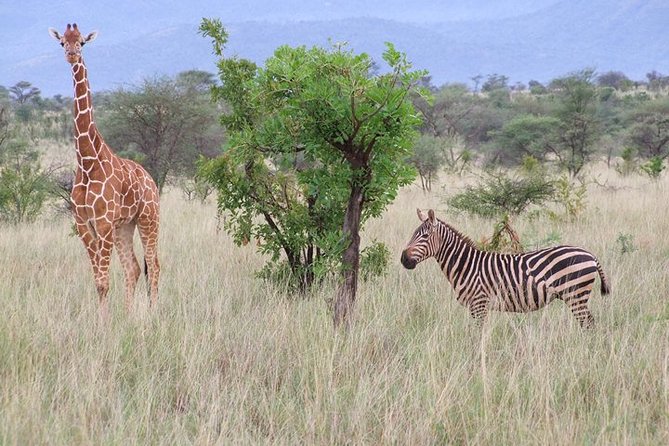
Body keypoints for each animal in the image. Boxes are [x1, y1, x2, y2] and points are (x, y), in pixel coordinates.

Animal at [48, 23, 160, 318]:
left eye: (82, 42)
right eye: (62, 42)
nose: (72, 55)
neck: (87, 161)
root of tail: (151, 180)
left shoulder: (103, 222)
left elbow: (104, 281)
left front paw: (104, 323)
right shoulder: (84, 223)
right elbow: (98, 280)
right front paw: (104, 321)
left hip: (149, 219)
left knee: (154, 265)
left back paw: (154, 314)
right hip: (125, 226)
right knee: (134, 268)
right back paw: (130, 315)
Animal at [400, 209, 608, 328]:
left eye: (425, 236)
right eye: (413, 234)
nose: (404, 259)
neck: (465, 264)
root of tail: (590, 255)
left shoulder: (479, 304)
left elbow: (477, 335)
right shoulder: (477, 306)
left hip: (575, 295)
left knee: (589, 324)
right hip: (576, 296)